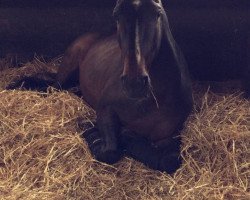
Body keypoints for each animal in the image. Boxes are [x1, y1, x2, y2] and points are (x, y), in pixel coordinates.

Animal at [6, 0, 193, 173]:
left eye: (157, 13)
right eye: (116, 14)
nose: (134, 83)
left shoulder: (170, 134)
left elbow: (170, 162)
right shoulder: (105, 109)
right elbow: (110, 152)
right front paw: (94, 135)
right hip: (65, 74)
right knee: (51, 87)